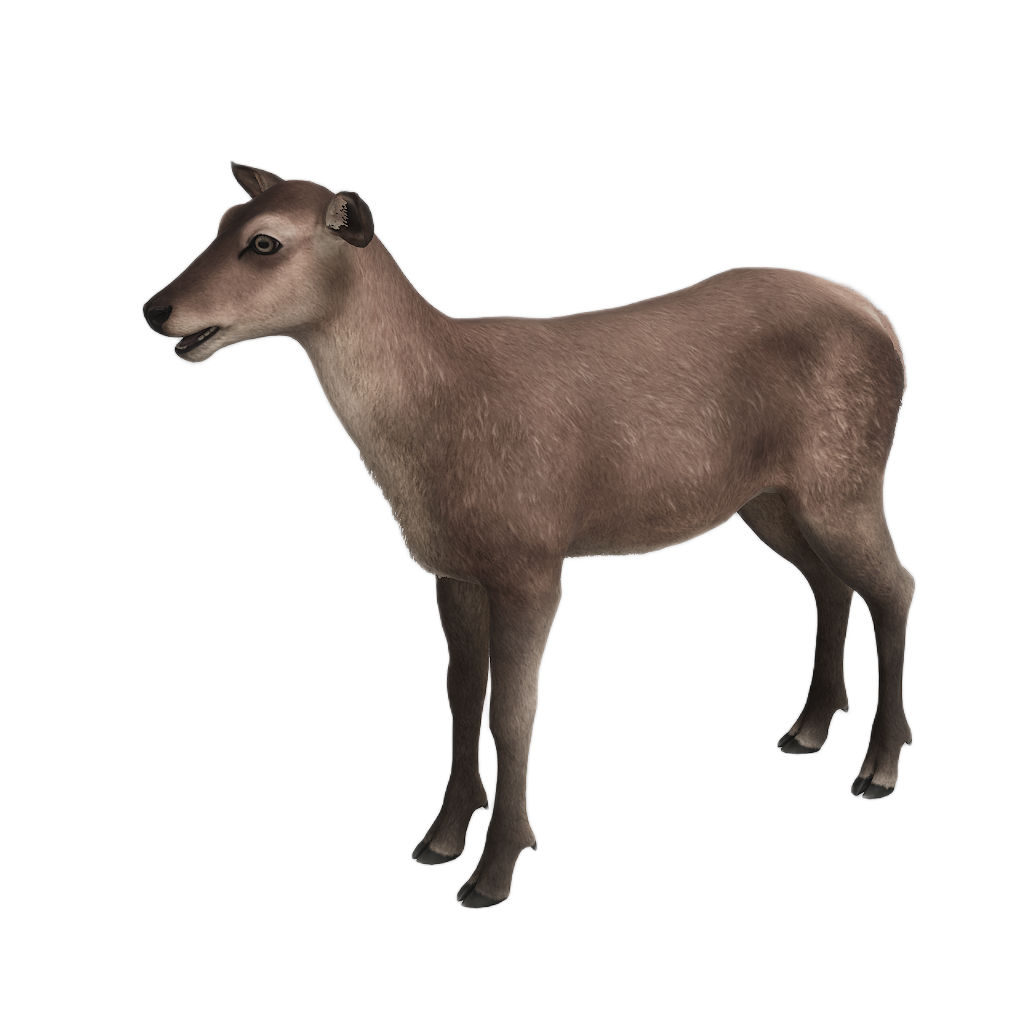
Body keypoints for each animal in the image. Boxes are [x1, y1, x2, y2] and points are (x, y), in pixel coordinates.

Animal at [143, 161, 916, 909]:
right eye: (222, 219)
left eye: (264, 242)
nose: (156, 308)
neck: (435, 421)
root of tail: (884, 323)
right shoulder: (451, 567)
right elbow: (460, 696)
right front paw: (441, 839)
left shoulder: (531, 561)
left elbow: (514, 715)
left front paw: (495, 871)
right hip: (770, 496)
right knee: (831, 582)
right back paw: (807, 730)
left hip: (843, 476)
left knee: (895, 583)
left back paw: (878, 767)